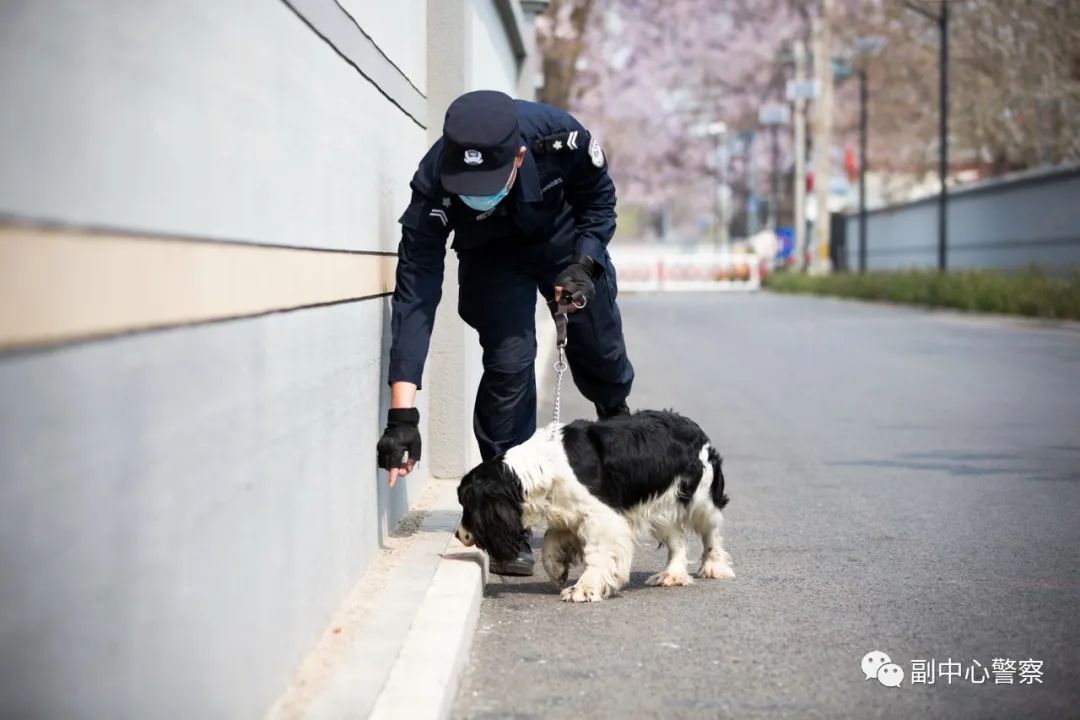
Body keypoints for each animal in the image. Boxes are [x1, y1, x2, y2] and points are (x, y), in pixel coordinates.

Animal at [455, 410, 734, 604]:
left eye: (465, 503)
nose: (458, 534)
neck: (540, 467)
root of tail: (693, 427)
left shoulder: (603, 518)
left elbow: (597, 555)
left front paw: (583, 589)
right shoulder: (569, 510)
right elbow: (551, 539)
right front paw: (556, 570)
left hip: (701, 499)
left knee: (711, 533)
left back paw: (712, 567)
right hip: (658, 506)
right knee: (678, 539)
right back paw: (672, 574)